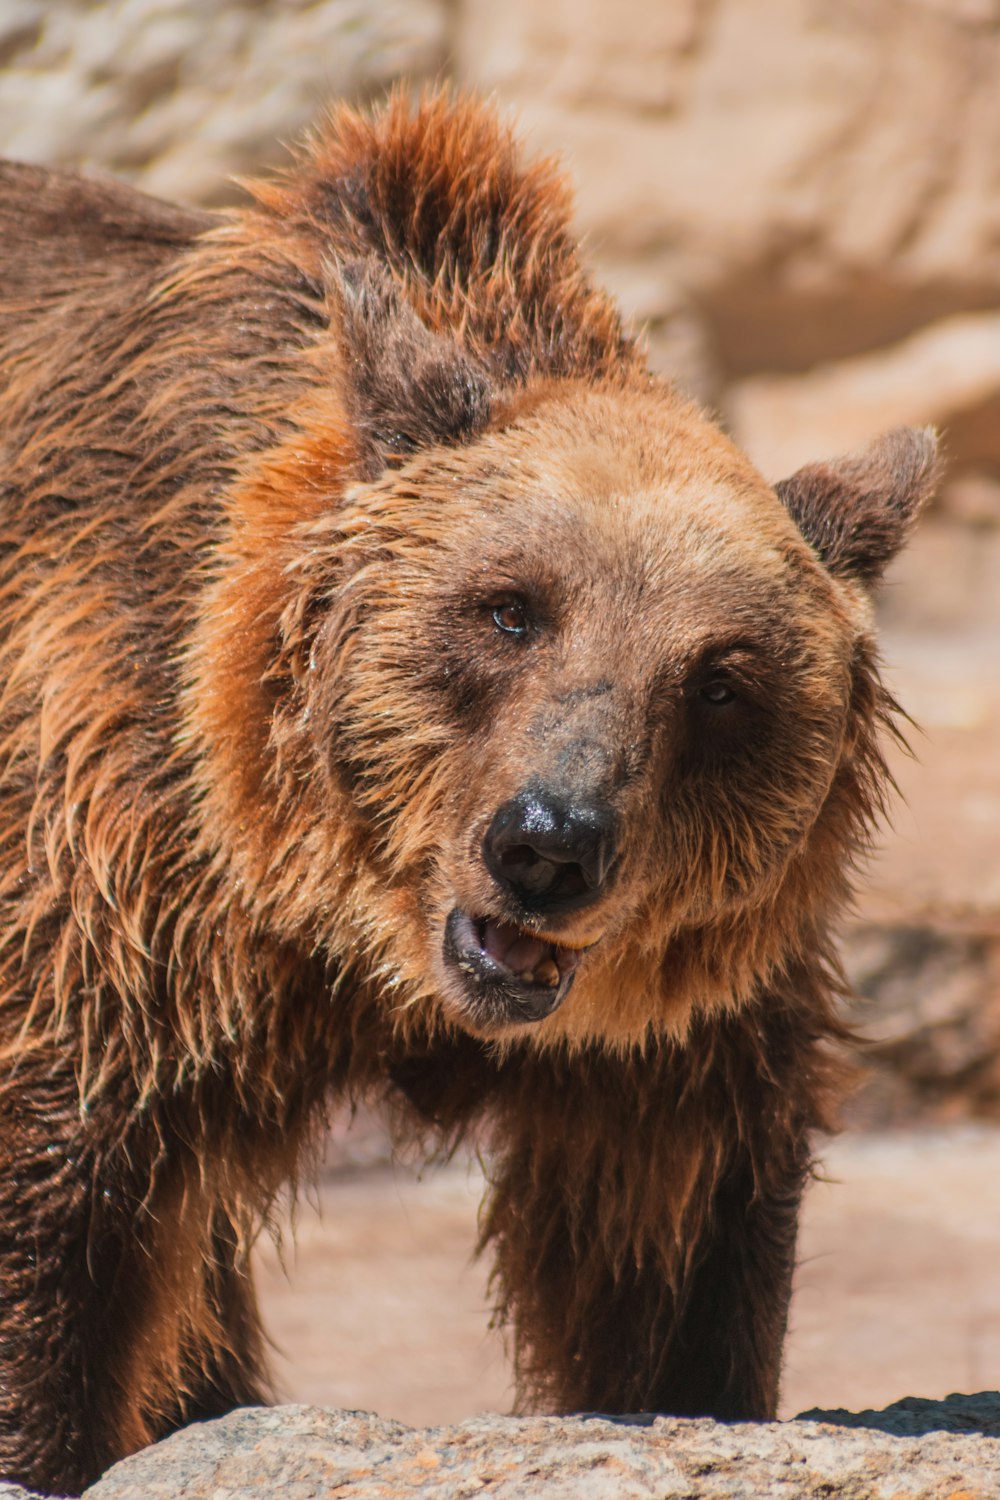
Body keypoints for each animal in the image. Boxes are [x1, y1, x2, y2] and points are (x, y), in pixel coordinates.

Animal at [0, 90, 941, 1488]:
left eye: (720, 680)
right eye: (508, 609)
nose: (548, 843)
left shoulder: (673, 1033)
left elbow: (673, 1249)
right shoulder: (113, 861)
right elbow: (62, 1199)